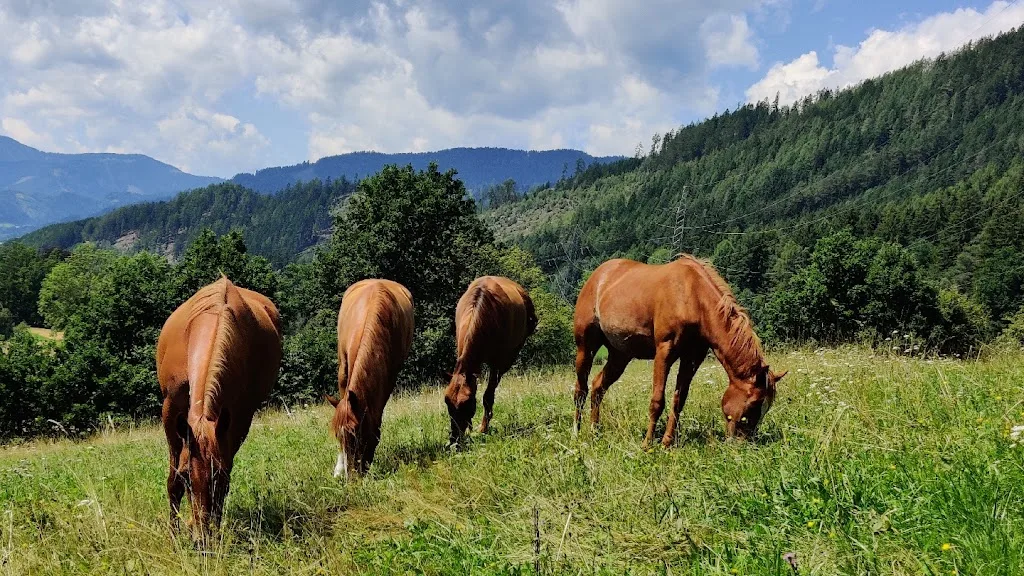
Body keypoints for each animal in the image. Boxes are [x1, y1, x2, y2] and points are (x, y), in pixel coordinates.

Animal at [157, 276, 282, 537]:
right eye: (187, 477)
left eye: (220, 476)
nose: (202, 539)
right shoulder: (170, 411)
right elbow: (172, 481)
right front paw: (173, 533)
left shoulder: (238, 418)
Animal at [326, 279, 414, 479]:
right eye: (338, 437)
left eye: (358, 434)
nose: (353, 478)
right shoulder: (344, 370)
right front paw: (339, 469)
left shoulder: (389, 377)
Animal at [445, 276, 537, 445]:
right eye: (447, 401)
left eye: (466, 403)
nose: (454, 438)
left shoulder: (497, 363)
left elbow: (488, 396)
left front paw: (483, 428)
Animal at [573, 255, 786, 446]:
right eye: (754, 404)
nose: (744, 443)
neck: (692, 297)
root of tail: (597, 276)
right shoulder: (664, 351)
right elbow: (657, 400)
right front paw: (647, 444)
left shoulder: (692, 357)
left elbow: (679, 400)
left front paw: (667, 442)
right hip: (586, 347)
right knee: (581, 390)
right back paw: (577, 432)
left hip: (621, 355)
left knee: (598, 386)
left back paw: (595, 431)